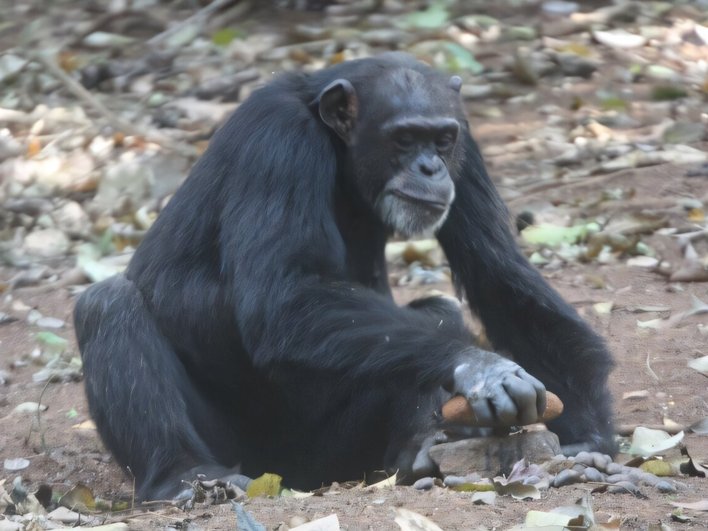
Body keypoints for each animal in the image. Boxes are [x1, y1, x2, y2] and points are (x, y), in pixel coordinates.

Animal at [73, 54, 612, 502]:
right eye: (403, 139)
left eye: (441, 139)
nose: (431, 167)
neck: (335, 143)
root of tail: (287, 474)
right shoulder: (278, 141)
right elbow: (284, 298)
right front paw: (481, 367)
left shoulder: (469, 148)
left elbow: (497, 271)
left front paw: (589, 428)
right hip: (241, 449)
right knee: (107, 304)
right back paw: (184, 475)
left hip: (339, 451)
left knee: (435, 312)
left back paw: (417, 449)